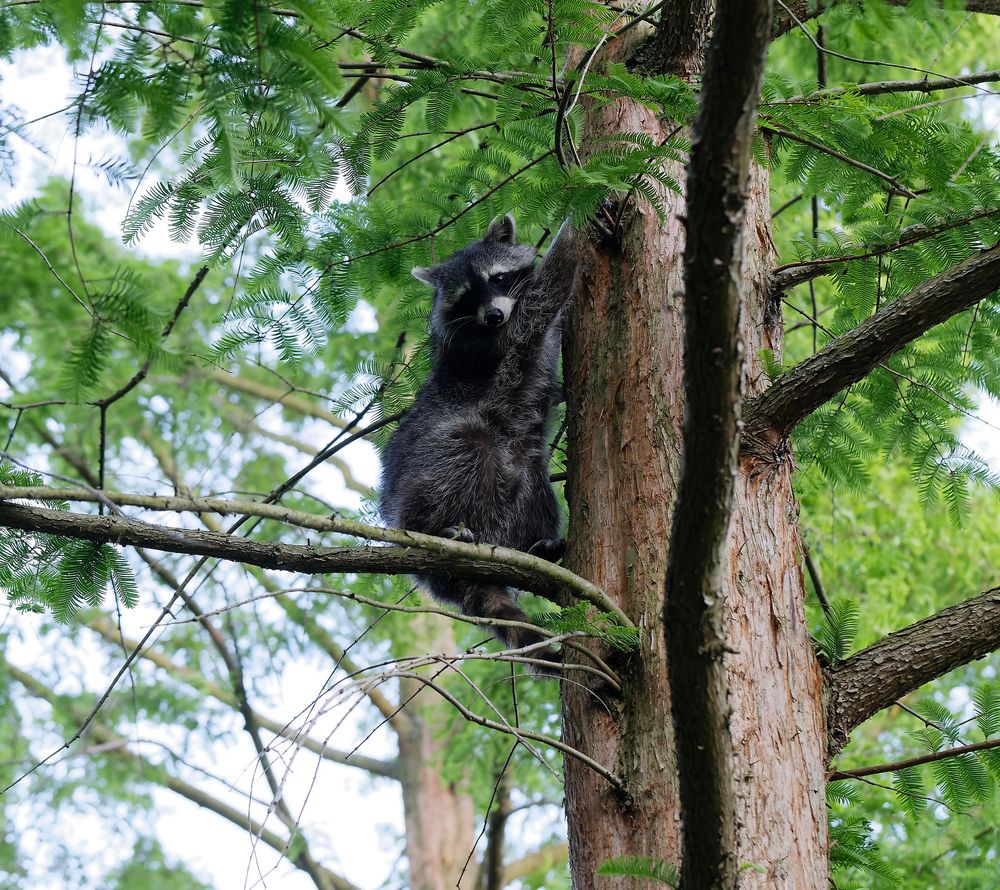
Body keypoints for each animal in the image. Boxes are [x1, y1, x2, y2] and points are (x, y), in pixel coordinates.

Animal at [378, 215, 580, 668]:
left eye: (497, 278)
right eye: (466, 296)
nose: (493, 316)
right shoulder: (488, 348)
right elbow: (544, 297)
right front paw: (577, 229)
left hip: (523, 472)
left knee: (533, 484)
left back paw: (536, 547)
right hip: (438, 456)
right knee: (465, 453)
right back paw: (433, 527)